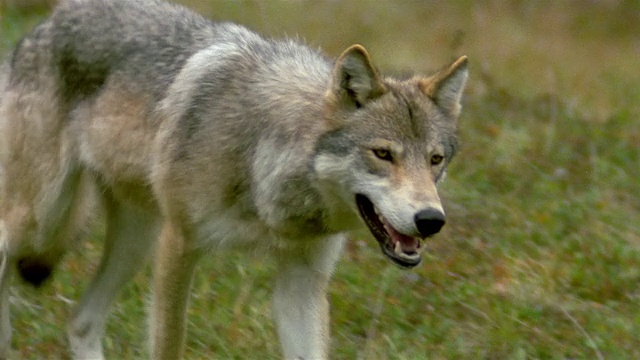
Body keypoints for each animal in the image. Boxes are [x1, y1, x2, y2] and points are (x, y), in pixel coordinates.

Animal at [0, 0, 470, 358]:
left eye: (435, 160)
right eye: (383, 154)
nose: (431, 220)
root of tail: (49, 21)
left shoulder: (302, 283)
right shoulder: (178, 246)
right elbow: (169, 345)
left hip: (135, 239)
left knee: (80, 322)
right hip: (41, 220)